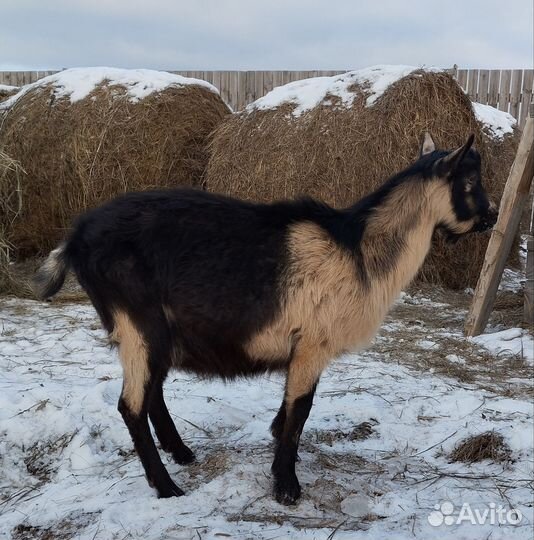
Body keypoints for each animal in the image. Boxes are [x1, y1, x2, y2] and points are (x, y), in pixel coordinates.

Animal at [35, 133, 500, 504]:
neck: (358, 250)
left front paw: (276, 445)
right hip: (138, 322)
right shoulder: (313, 342)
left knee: (152, 395)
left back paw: (182, 454)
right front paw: (286, 486)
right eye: (470, 182)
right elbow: (300, 411)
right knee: (131, 405)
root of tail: (75, 239)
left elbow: (289, 410)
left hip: (158, 332)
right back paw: (167, 486)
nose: (492, 216)